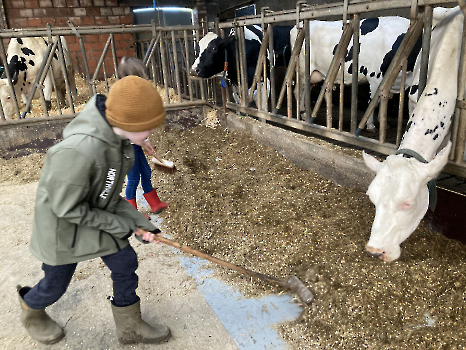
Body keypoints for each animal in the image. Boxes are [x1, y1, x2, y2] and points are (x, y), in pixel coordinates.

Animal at [290, 16, 420, 131]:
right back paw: (302, 115)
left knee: (305, 91)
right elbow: (374, 101)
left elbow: (385, 98)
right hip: (303, 71)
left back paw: (306, 113)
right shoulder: (375, 76)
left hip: (314, 75)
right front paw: (371, 125)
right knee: (298, 92)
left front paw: (383, 122)